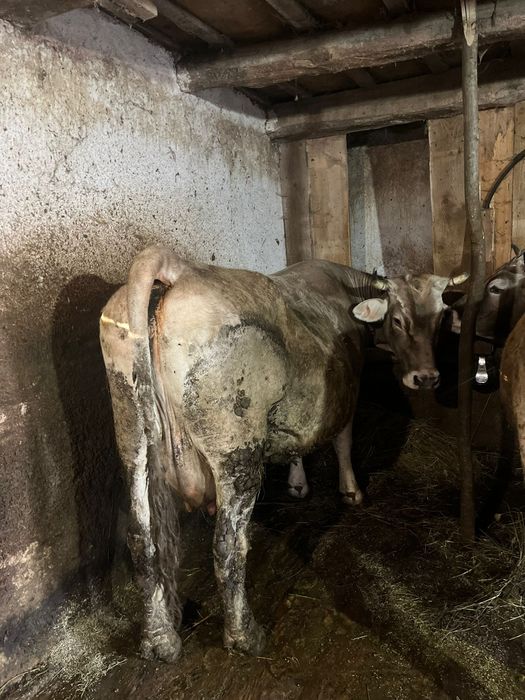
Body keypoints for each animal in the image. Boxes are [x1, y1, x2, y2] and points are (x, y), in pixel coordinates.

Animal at [100, 245, 466, 662]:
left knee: (142, 539)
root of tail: (178, 270)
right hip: (235, 452)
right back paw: (244, 636)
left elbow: (297, 442)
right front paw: (351, 490)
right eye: (399, 319)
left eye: (440, 317)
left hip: (133, 441)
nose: (427, 377)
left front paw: (297, 484)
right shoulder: (345, 389)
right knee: (227, 545)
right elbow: (342, 440)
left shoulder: (299, 406)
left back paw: (159, 639)